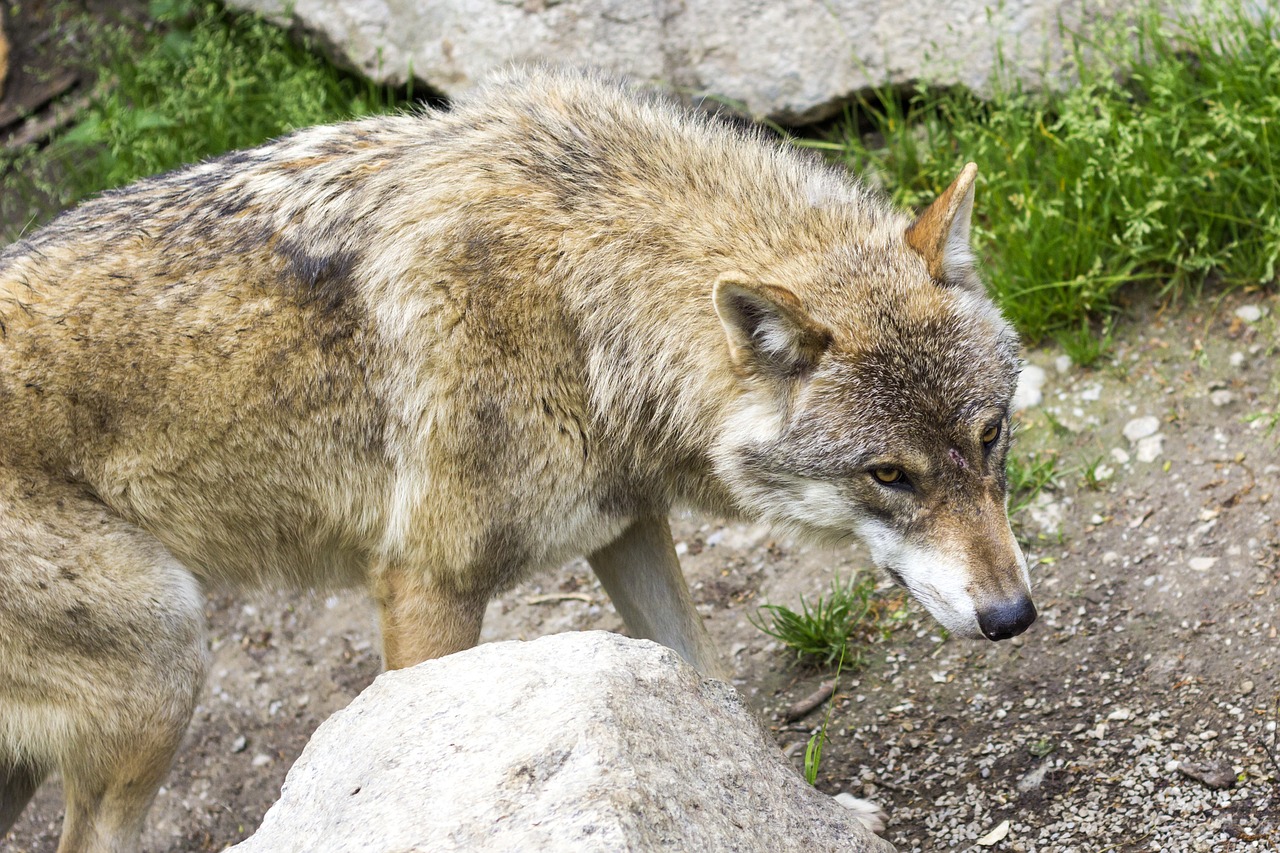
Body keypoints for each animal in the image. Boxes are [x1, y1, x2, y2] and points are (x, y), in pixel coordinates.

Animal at [0, 68, 1034, 850]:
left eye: (990, 437)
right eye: (888, 474)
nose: (1013, 616)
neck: (587, 308)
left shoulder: (626, 526)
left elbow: (713, 684)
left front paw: (809, 813)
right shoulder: (426, 584)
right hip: (168, 665)